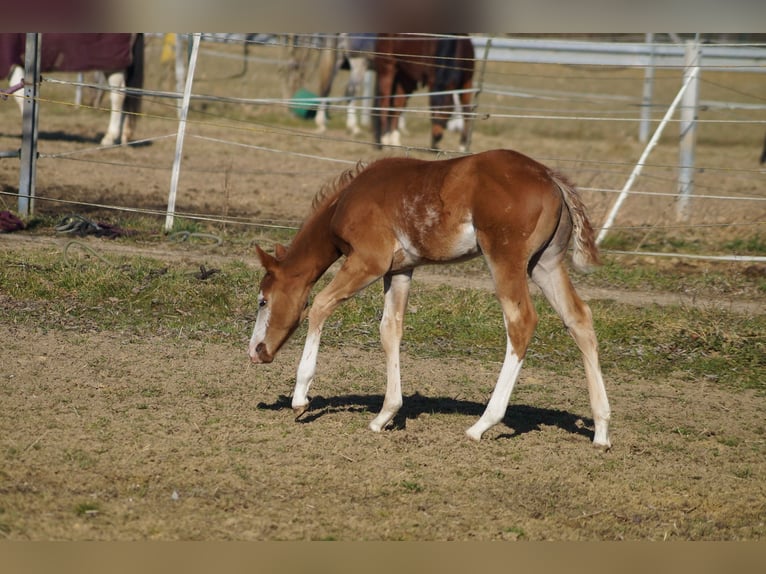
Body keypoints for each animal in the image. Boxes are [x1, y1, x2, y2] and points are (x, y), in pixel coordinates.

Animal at [0, 33, 144, 146]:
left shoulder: (12, 63)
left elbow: (21, 96)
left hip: (114, 67)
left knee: (118, 97)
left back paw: (109, 137)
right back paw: (123, 138)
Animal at [248, 149, 612, 448]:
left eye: (263, 300)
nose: (255, 352)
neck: (347, 201)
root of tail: (551, 179)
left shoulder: (368, 262)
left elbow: (320, 306)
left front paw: (300, 399)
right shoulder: (400, 270)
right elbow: (390, 330)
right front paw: (385, 415)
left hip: (505, 259)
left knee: (521, 321)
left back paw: (482, 424)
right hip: (545, 263)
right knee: (579, 318)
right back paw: (602, 430)